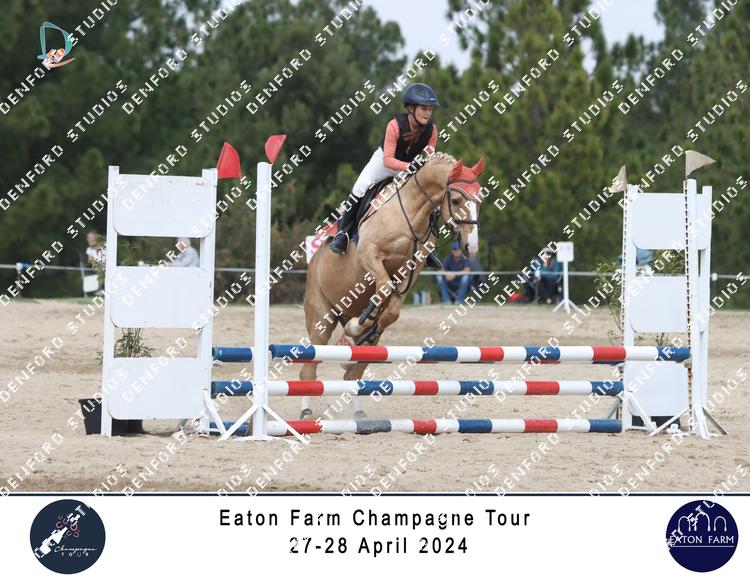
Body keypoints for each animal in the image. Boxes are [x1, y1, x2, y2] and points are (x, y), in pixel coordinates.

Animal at [298, 151, 485, 419]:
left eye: (480, 200)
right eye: (457, 199)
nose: (471, 247)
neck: (411, 213)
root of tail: (314, 260)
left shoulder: (411, 270)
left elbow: (391, 311)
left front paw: (360, 327)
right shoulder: (369, 256)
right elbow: (384, 287)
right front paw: (357, 325)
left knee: (355, 370)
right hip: (320, 317)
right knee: (309, 367)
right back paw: (306, 411)